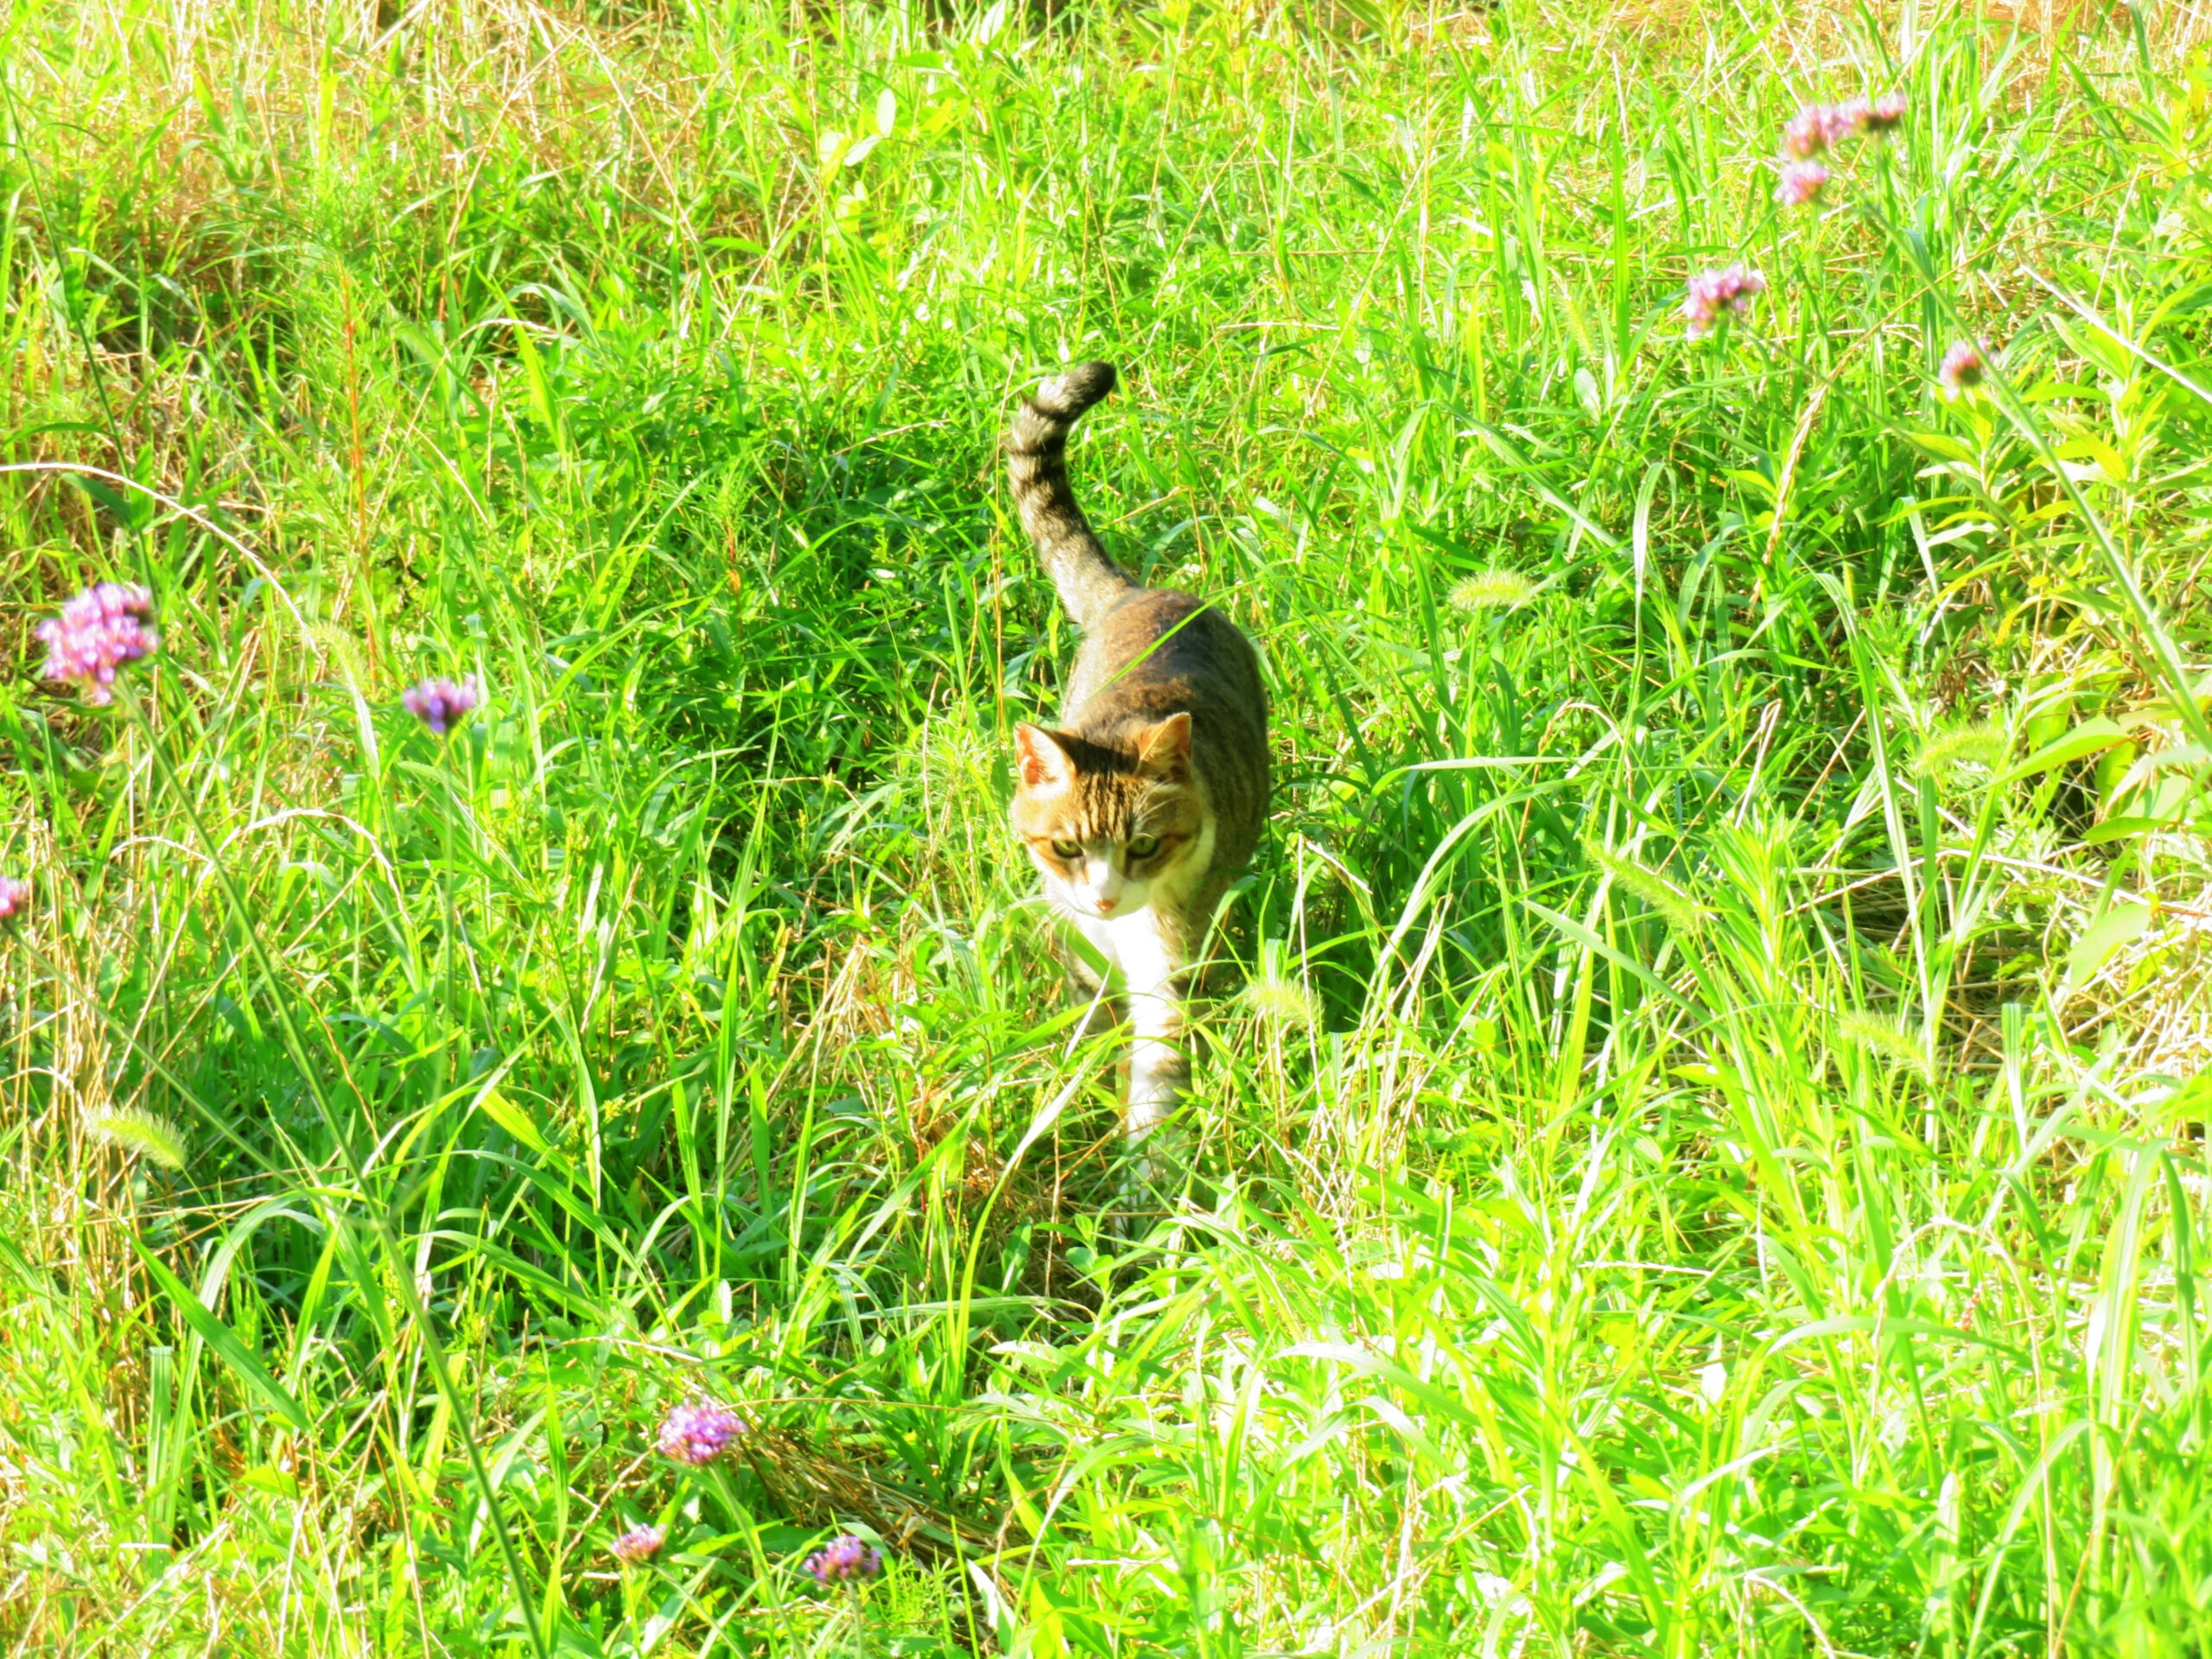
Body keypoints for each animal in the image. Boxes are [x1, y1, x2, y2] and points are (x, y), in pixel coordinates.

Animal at [1008, 360, 1274, 1159]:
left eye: (1146, 845)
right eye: (1066, 846)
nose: (1102, 898)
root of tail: (1141, 589)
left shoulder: (1169, 963)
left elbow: (1157, 1070)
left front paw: (1148, 1170)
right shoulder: (1076, 939)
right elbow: (1088, 1027)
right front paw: (1070, 1100)